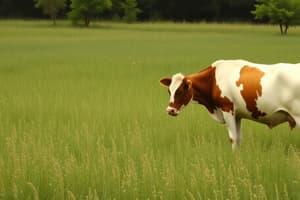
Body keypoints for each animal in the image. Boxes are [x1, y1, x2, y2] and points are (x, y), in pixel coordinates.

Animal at [159, 59, 300, 148]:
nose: (170, 110)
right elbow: (238, 138)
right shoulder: (237, 115)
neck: (213, 79)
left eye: (180, 90)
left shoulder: (227, 109)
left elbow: (233, 138)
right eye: (169, 91)